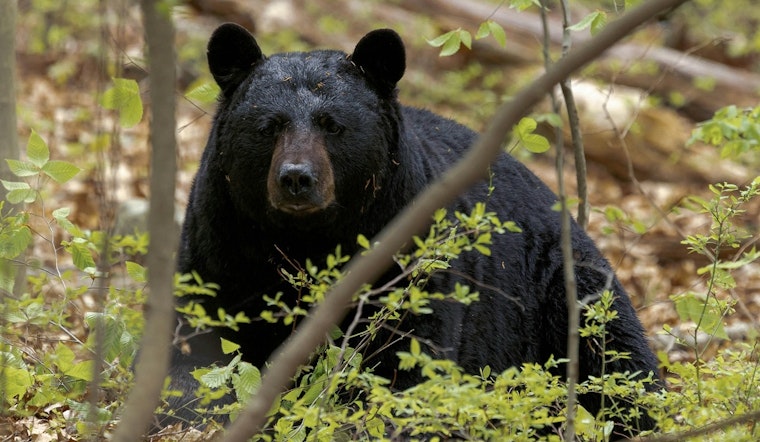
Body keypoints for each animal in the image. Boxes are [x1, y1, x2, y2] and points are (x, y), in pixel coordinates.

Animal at [163, 22, 661, 436]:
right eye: (269, 126)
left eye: (333, 125)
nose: (297, 178)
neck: (307, 240)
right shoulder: (221, 242)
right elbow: (197, 346)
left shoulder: (408, 255)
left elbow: (409, 360)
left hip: (562, 288)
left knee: (617, 358)